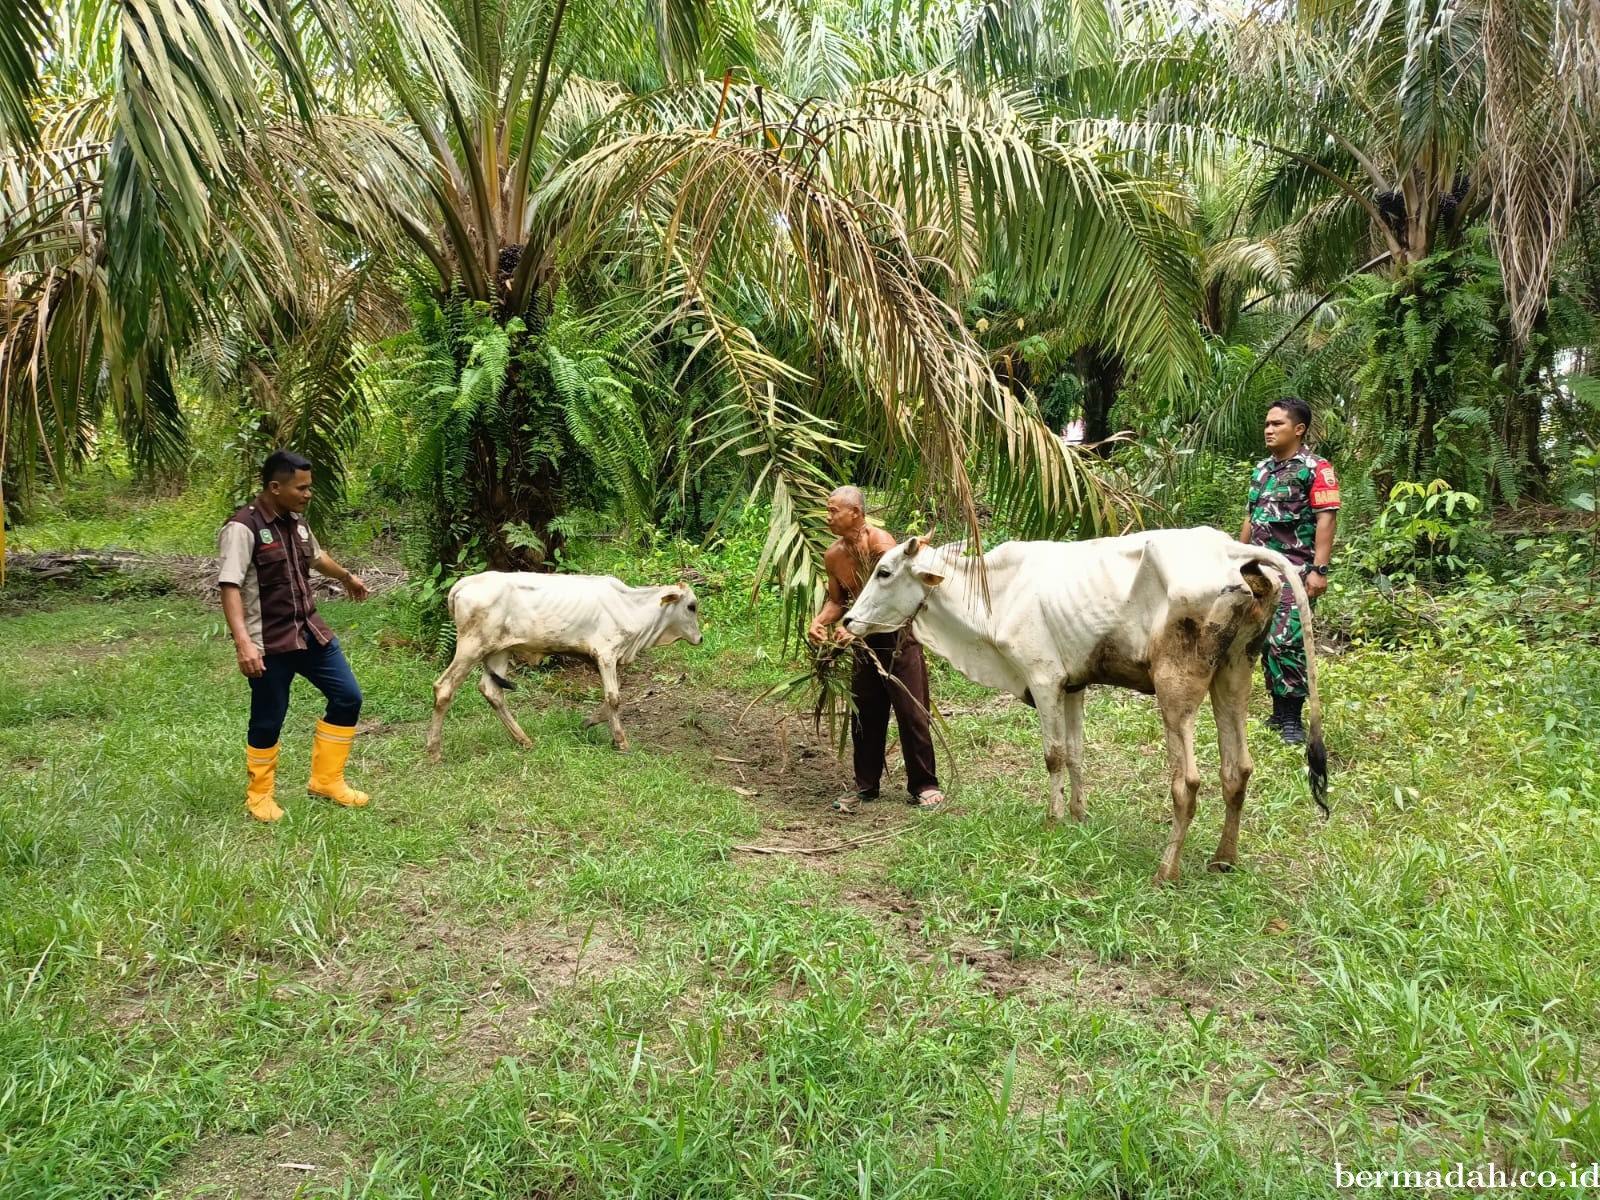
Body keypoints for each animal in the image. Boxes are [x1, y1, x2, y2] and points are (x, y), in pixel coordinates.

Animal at [425, 572, 700, 761]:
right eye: (692, 606)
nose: (700, 639)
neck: (633, 609)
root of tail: (462, 585)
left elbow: (610, 699)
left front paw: (588, 723)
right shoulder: (606, 654)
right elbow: (614, 698)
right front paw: (621, 742)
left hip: (498, 651)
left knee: (491, 691)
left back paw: (524, 740)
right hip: (471, 646)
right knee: (444, 687)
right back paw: (434, 751)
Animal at [838, 531, 1324, 889]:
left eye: (883, 571)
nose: (847, 622)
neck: (993, 594)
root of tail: (1231, 549)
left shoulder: (1044, 679)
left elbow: (1053, 756)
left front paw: (1052, 822)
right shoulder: (1073, 686)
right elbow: (1075, 753)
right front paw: (1078, 815)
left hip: (1177, 684)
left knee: (1187, 781)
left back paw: (1166, 871)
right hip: (1235, 672)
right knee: (1237, 769)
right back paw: (1223, 860)